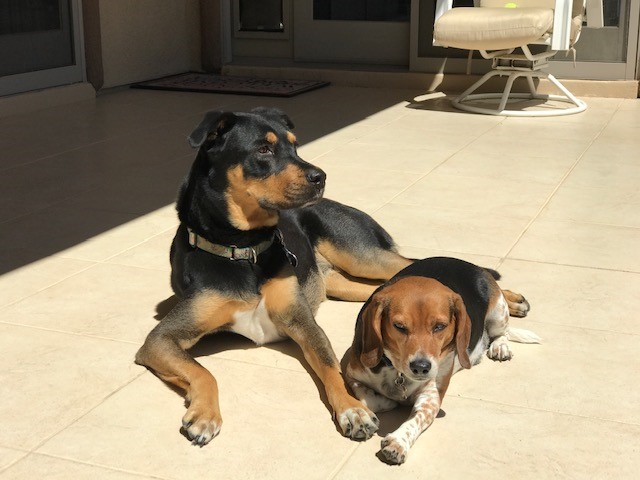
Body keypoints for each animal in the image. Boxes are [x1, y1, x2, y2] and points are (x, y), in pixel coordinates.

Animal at [135, 109, 528, 446]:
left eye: (295, 145)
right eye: (263, 148)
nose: (320, 176)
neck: (244, 249)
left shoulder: (302, 321)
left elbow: (329, 368)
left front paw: (353, 411)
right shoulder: (160, 339)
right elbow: (203, 371)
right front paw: (204, 415)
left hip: (363, 254)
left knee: (434, 263)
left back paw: (511, 300)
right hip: (348, 284)